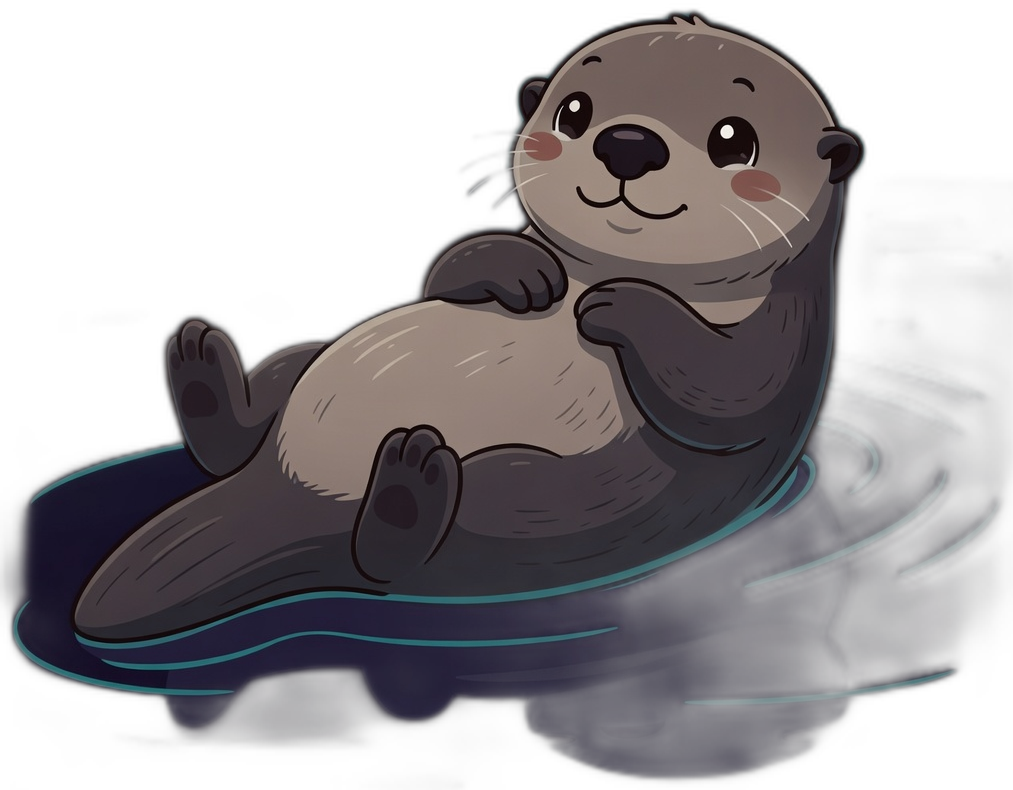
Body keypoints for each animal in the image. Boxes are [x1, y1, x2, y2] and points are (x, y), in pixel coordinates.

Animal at [74, 15, 862, 641]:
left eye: (735, 139)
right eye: (573, 111)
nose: (629, 143)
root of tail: (292, 487)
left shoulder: (787, 321)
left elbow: (732, 387)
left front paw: (620, 305)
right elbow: (448, 268)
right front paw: (527, 273)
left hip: (569, 504)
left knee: (408, 555)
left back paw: (407, 485)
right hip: (311, 361)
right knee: (261, 410)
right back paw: (202, 376)